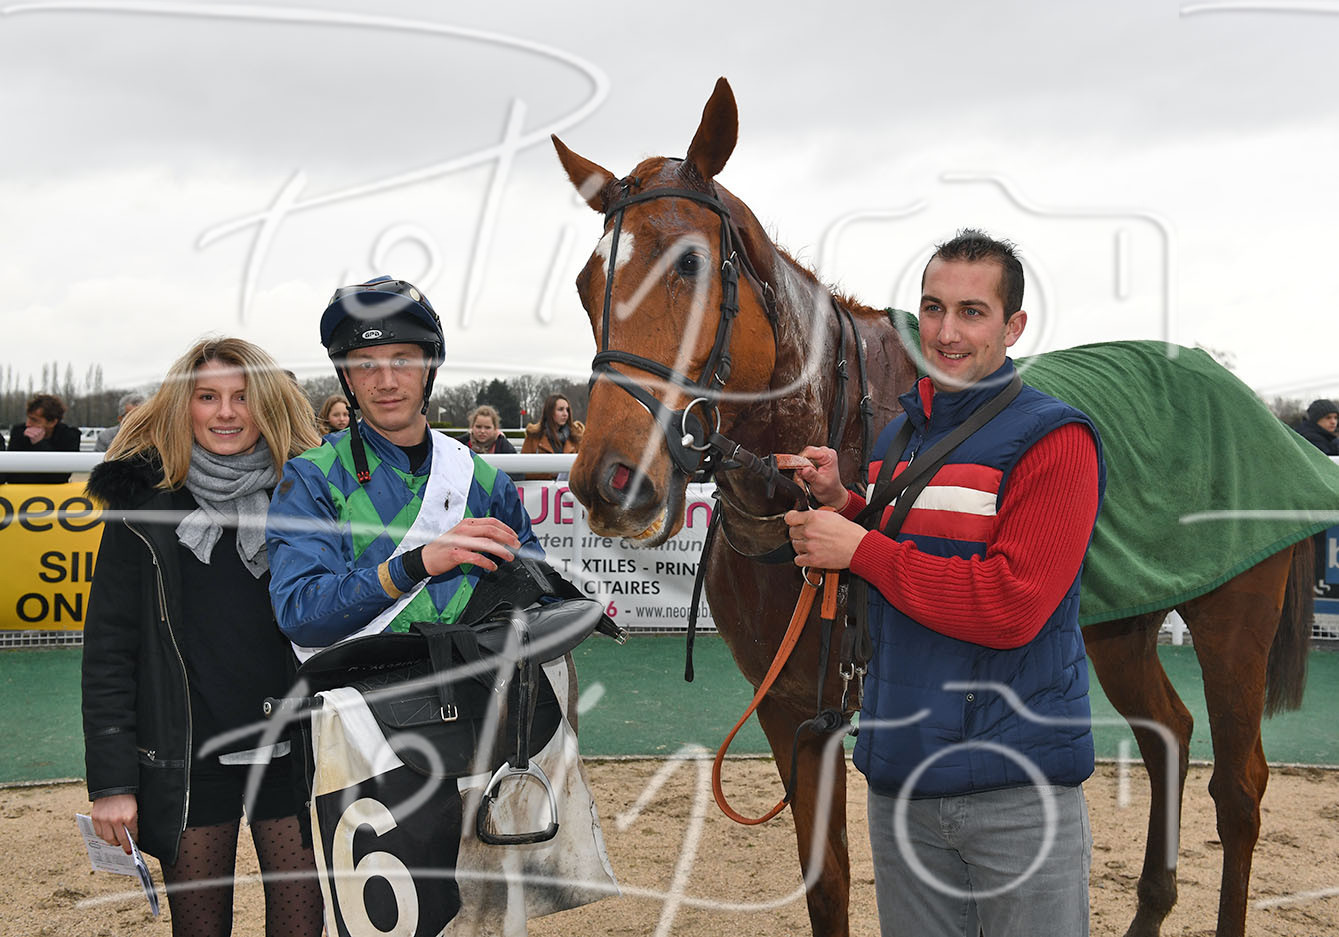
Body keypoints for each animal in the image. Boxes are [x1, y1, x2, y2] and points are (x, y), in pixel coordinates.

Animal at [550, 77, 1321, 937]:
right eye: (585, 280)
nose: (611, 480)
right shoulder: (790, 709)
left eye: (687, 263)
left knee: (1239, 787)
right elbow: (826, 881)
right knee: (1168, 734)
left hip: (1233, 620)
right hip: (1120, 626)